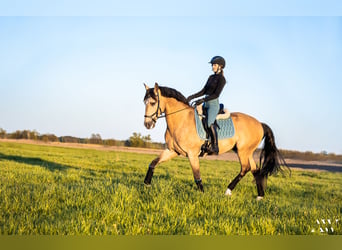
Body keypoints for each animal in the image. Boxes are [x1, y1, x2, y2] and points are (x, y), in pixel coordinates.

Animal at [142, 83, 288, 200]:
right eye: (144, 102)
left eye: (153, 103)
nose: (147, 124)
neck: (181, 120)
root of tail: (260, 124)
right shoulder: (172, 151)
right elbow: (153, 163)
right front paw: (146, 184)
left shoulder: (192, 154)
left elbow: (197, 176)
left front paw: (202, 194)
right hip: (247, 152)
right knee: (255, 170)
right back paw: (260, 196)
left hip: (243, 151)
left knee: (245, 168)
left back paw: (228, 190)